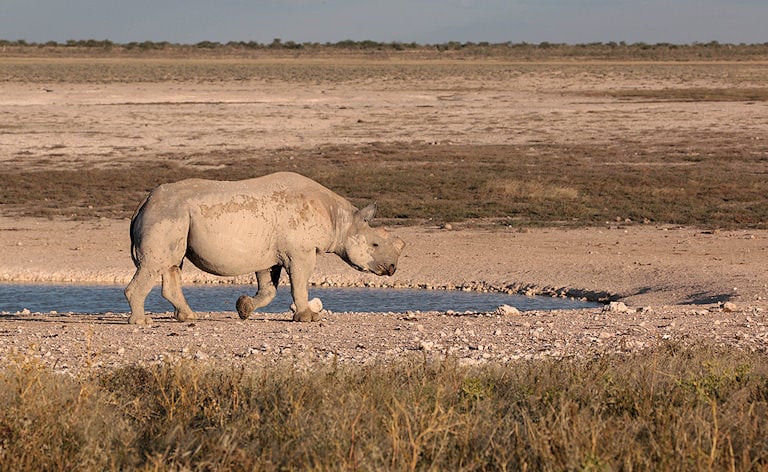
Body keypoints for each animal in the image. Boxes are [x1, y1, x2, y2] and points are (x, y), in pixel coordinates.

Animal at [125, 172, 405, 325]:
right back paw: (142, 322)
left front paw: (243, 308)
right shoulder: (300, 252)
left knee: (172, 263)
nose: (392, 268)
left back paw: (187, 317)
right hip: (167, 215)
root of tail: (144, 202)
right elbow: (300, 284)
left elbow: (268, 290)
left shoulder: (270, 257)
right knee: (156, 264)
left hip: (173, 216)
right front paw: (307, 318)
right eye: (375, 243)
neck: (342, 220)